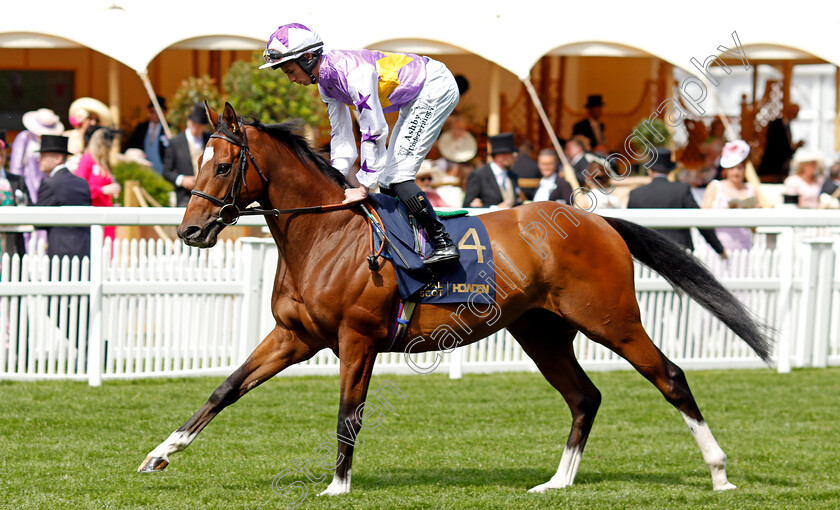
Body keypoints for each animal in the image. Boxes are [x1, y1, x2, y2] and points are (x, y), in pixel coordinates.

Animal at [139, 101, 776, 496]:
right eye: (195, 164)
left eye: (224, 165)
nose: (189, 230)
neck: (326, 235)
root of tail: (597, 221)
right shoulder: (294, 336)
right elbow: (225, 389)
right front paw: (161, 453)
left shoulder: (357, 338)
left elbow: (349, 412)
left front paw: (337, 485)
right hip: (541, 331)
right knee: (584, 396)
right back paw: (559, 481)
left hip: (612, 319)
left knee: (670, 376)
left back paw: (719, 473)